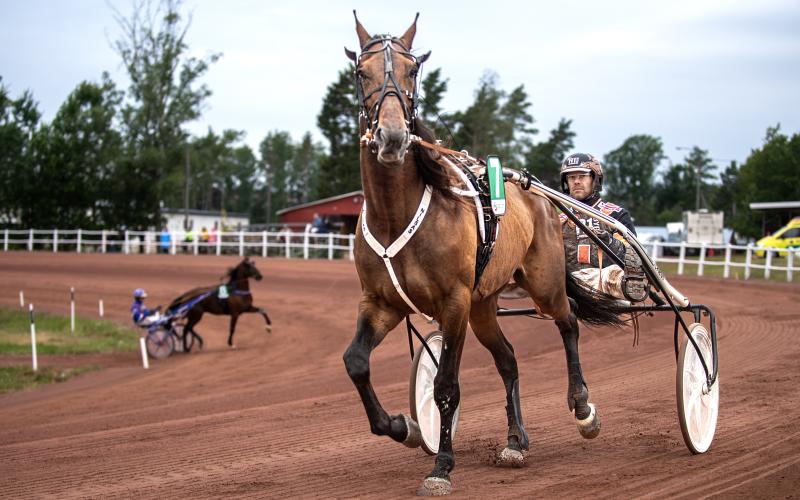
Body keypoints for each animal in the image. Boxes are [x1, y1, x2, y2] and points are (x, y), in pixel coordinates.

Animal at [340, 11, 620, 496]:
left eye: (413, 70)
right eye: (361, 72)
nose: (392, 136)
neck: (398, 212)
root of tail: (535, 191)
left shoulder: (453, 303)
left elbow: (445, 386)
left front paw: (442, 466)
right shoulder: (380, 303)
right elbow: (356, 362)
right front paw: (404, 427)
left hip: (541, 284)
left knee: (567, 322)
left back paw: (583, 408)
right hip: (484, 304)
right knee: (507, 358)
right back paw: (515, 440)